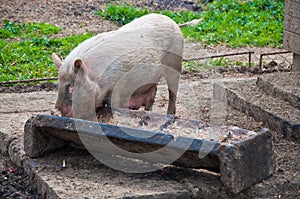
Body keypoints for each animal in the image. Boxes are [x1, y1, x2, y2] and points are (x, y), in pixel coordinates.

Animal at [52, 14, 202, 121]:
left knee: (173, 92)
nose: (58, 110)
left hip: (176, 62)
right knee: (152, 95)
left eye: (72, 87)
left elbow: (116, 106)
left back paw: (170, 115)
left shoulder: (119, 90)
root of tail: (174, 22)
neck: (99, 77)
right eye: (58, 84)